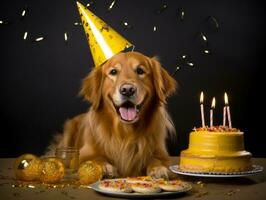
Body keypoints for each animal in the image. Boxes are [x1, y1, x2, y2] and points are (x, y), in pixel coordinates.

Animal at [47, 51, 177, 178]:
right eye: (113, 72)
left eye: (140, 71)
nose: (127, 90)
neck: (125, 132)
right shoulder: (83, 153)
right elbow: (95, 158)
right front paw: (104, 167)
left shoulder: (160, 152)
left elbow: (156, 159)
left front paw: (158, 168)